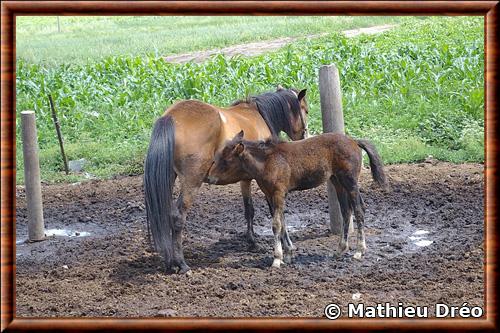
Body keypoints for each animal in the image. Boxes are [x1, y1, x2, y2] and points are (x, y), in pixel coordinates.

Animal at [144, 86, 308, 272]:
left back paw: (171, 263)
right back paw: (181, 263)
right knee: (178, 217)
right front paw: (286, 247)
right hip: (192, 182)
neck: (258, 114)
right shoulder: (266, 183)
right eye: (305, 110)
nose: (304, 135)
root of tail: (171, 117)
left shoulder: (246, 179)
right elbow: (276, 213)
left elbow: (249, 209)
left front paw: (252, 242)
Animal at [207, 130, 386, 268]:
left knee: (359, 209)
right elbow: (283, 222)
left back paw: (359, 251)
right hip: (337, 181)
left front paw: (277, 258)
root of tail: (354, 141)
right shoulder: (269, 195)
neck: (267, 161)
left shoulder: (278, 193)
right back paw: (340, 249)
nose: (210, 177)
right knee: (346, 211)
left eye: (226, 160)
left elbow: (276, 224)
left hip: (350, 182)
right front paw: (288, 254)